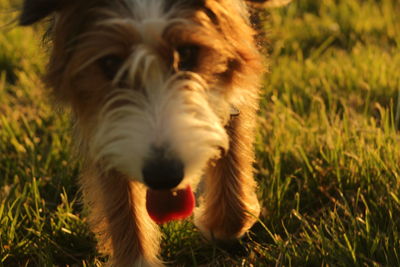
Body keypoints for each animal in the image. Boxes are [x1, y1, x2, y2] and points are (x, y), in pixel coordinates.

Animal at [19, 0, 288, 266]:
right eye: (110, 64)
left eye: (187, 53)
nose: (163, 176)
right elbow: (117, 185)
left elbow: (233, 127)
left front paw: (224, 224)